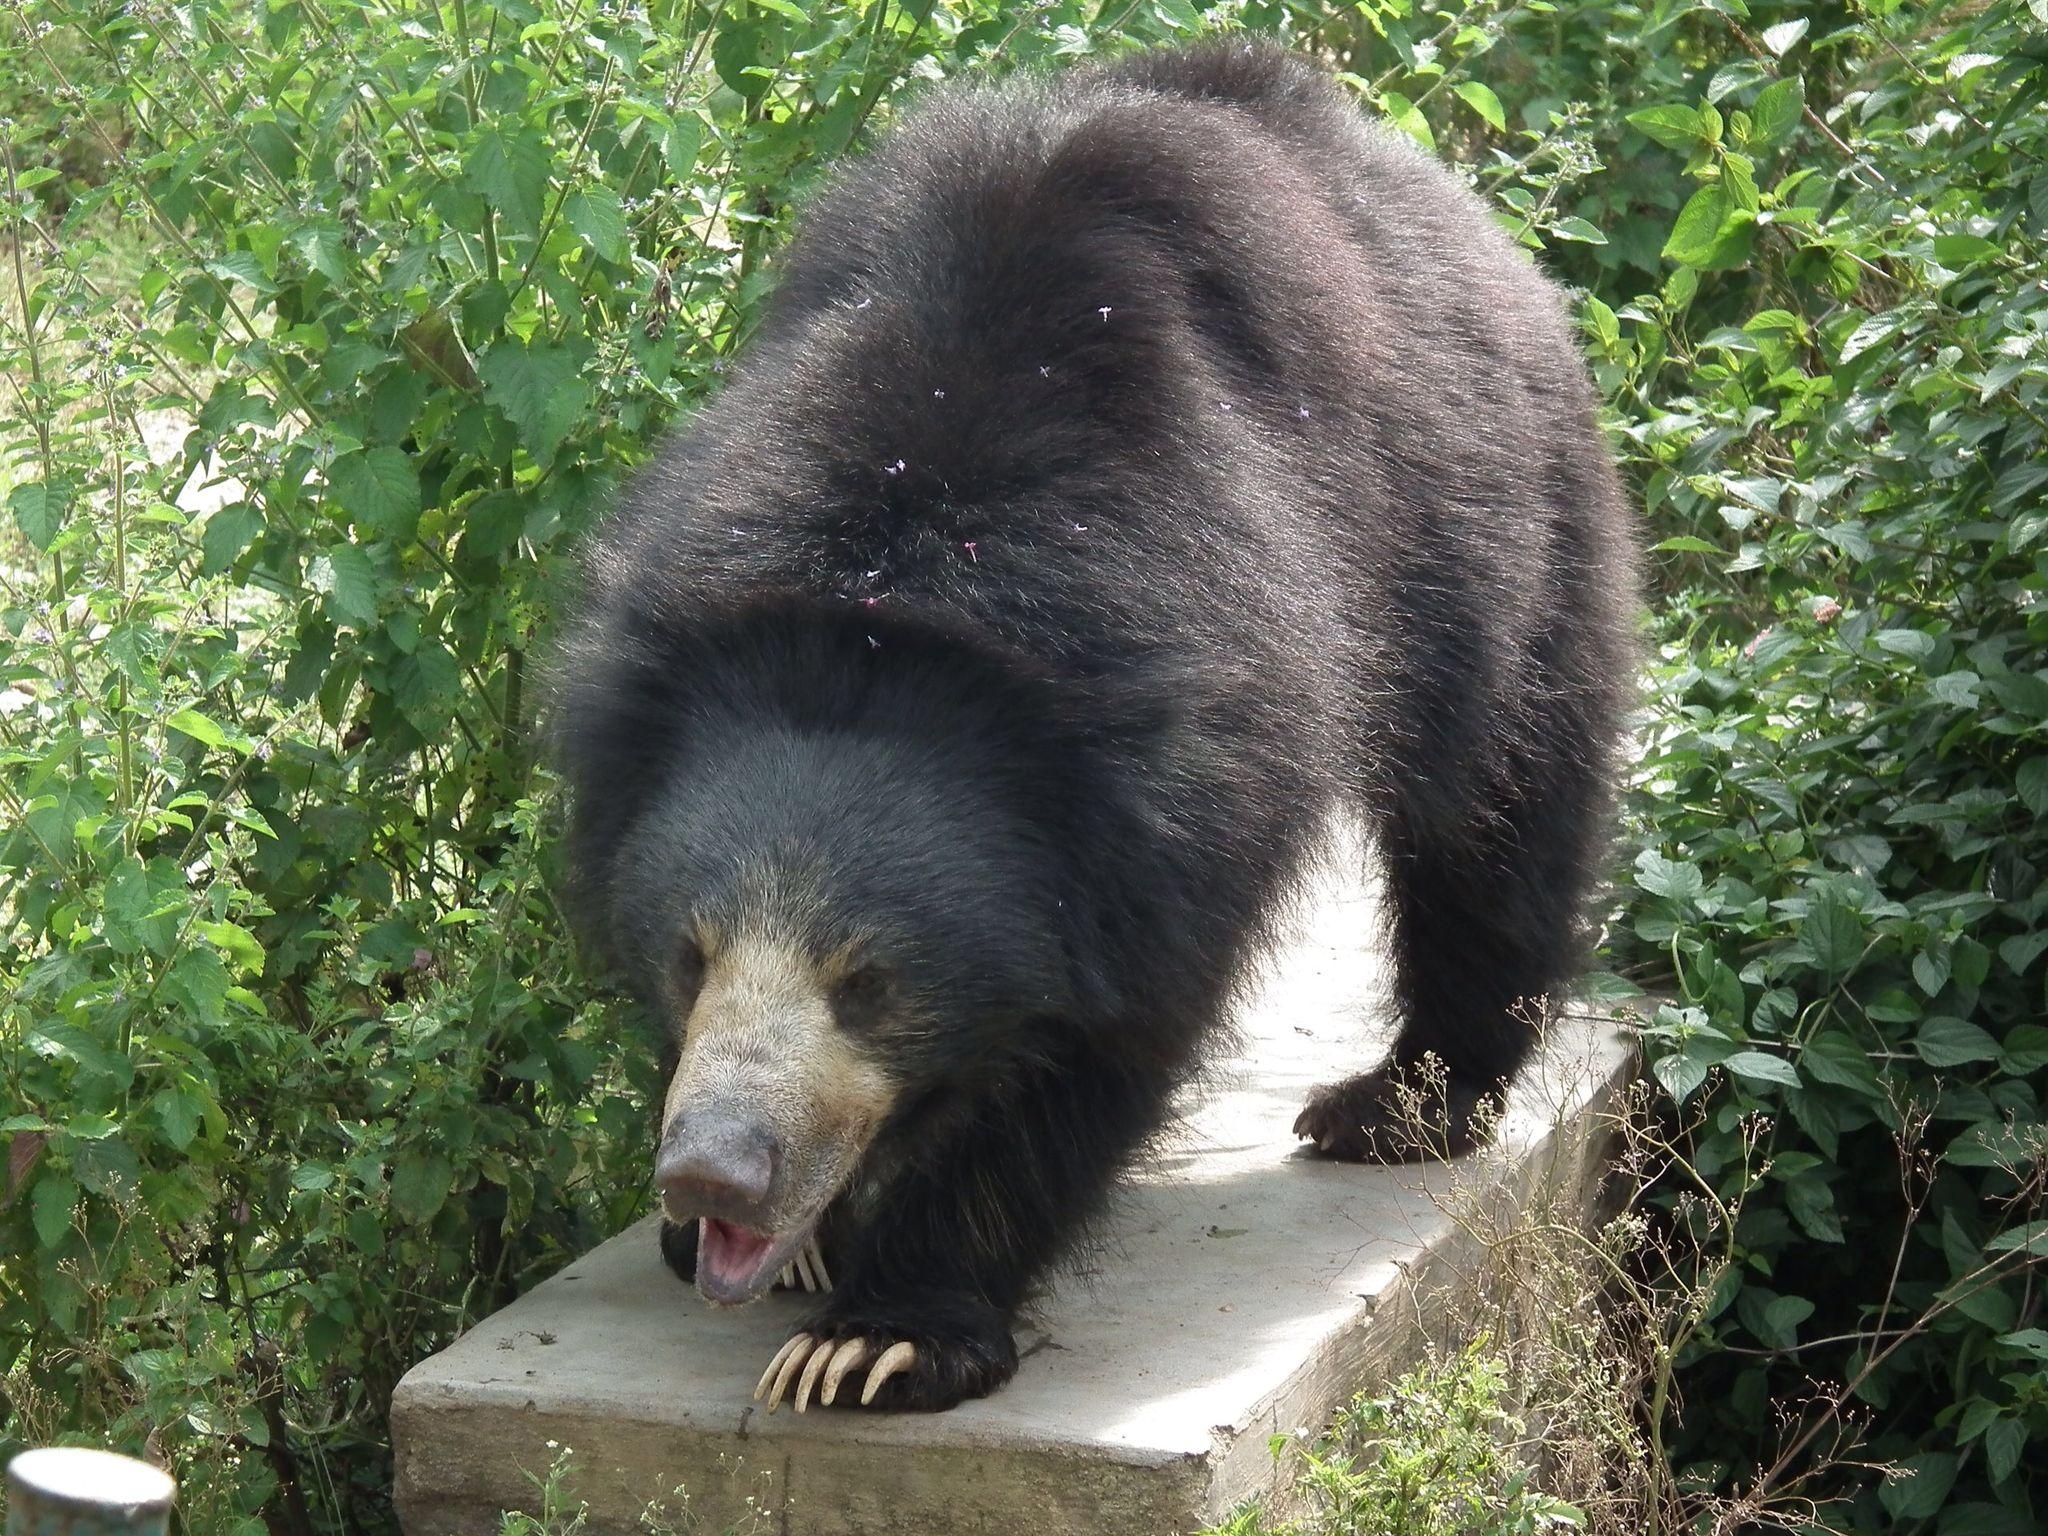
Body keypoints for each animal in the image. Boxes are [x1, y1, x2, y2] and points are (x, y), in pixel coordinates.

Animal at [552, 41, 1638, 1417]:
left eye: (869, 982)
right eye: (689, 959)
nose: (711, 1177)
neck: (891, 594)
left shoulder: (1176, 776)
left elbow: (1095, 1044)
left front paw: (879, 1336)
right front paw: (787, 1251)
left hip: (1499, 538)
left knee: (1497, 810)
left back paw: (1395, 1107)